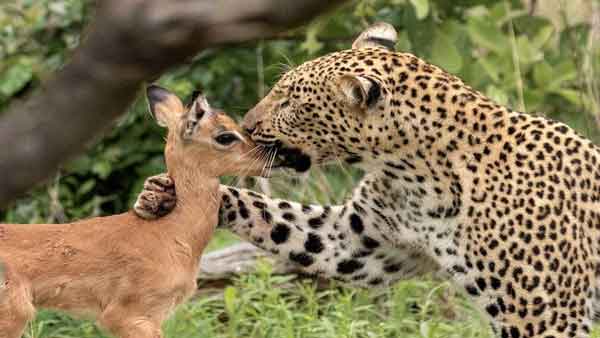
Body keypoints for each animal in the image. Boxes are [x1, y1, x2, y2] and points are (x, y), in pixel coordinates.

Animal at [134, 22, 600, 336]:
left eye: (290, 102)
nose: (247, 126)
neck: (416, 176)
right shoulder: (360, 240)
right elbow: (279, 218)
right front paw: (162, 193)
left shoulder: (545, 317)